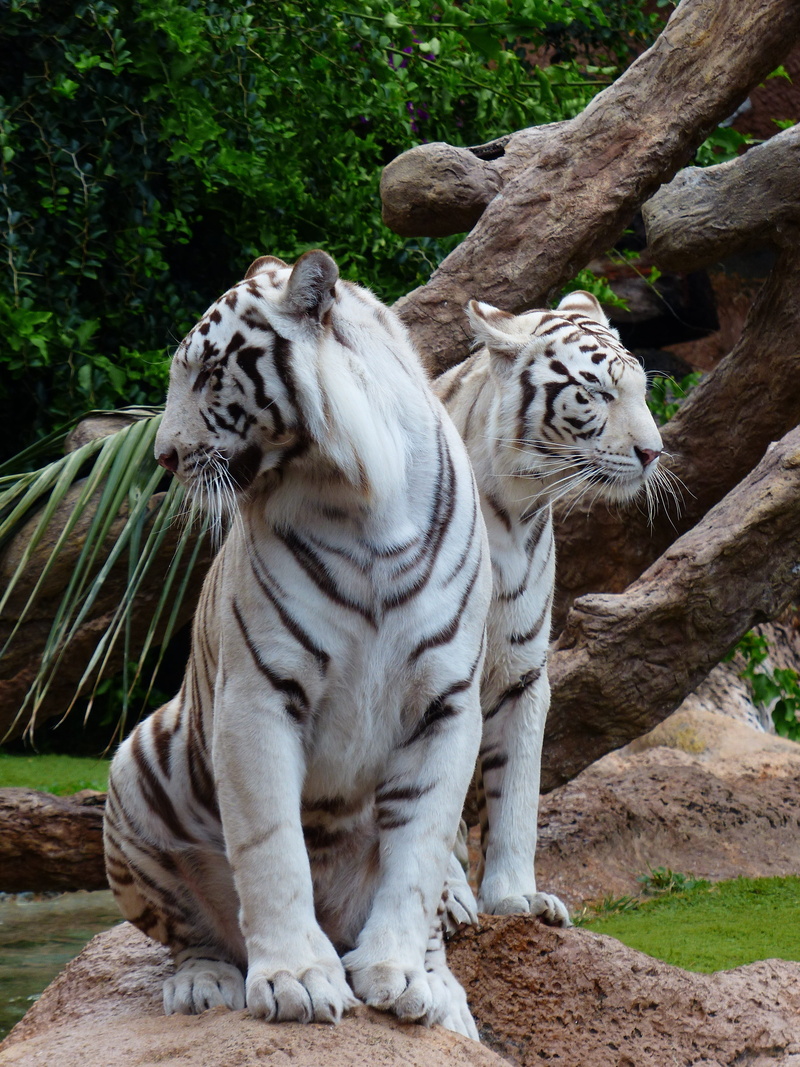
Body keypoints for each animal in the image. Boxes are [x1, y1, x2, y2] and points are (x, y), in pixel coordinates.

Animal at [103, 250, 491, 1039]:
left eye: (206, 372)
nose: (163, 456)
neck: (362, 501)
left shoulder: (448, 704)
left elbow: (419, 852)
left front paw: (401, 975)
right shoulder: (257, 695)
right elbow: (272, 845)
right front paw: (297, 979)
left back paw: (443, 993)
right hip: (137, 769)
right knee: (191, 930)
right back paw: (206, 982)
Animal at [435, 290, 666, 925]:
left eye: (642, 390)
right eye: (598, 393)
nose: (653, 452)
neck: (512, 514)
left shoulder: (523, 672)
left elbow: (516, 794)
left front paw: (516, 898)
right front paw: (448, 899)